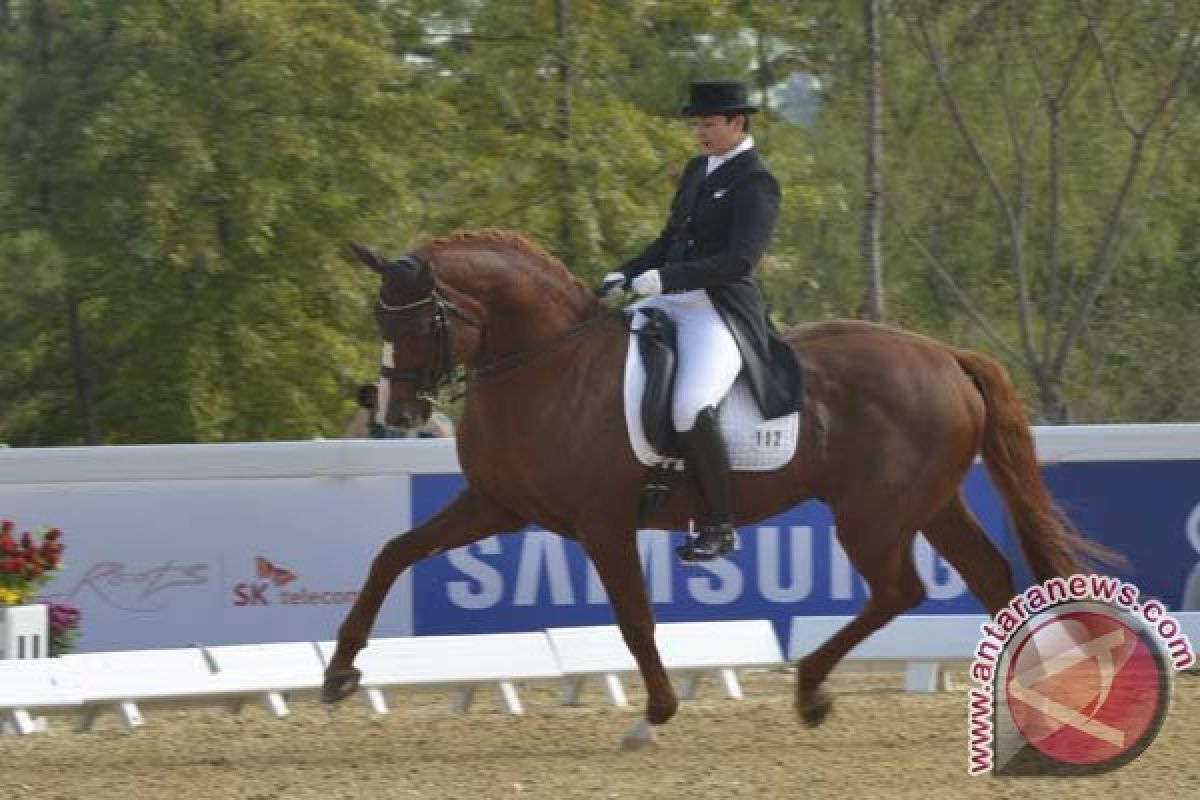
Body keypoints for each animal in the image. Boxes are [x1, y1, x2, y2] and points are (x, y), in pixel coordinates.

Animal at [324, 230, 1108, 753]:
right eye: (379, 319)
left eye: (416, 319)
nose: (396, 414)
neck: (546, 368)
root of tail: (945, 354)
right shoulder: (496, 506)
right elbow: (392, 554)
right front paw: (338, 673)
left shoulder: (601, 522)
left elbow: (634, 619)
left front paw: (653, 716)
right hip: (930, 504)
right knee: (989, 576)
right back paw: (1037, 702)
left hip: (872, 513)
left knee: (900, 590)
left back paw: (811, 690)